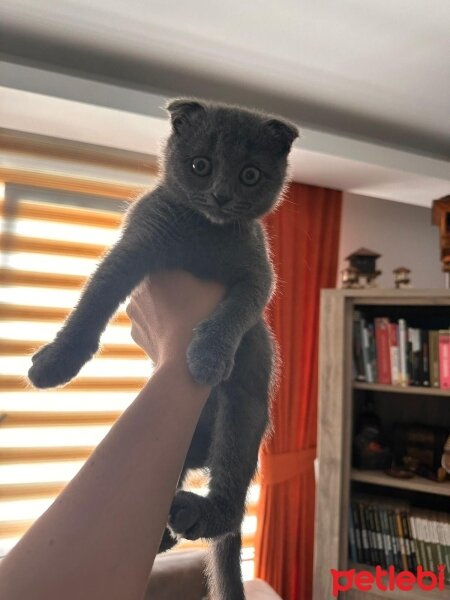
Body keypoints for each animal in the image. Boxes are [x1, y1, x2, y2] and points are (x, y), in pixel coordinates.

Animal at [28, 99, 298, 600]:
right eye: (200, 165)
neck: (205, 232)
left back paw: (195, 513)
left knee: (231, 497)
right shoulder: (135, 245)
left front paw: (208, 356)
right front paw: (57, 362)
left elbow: (235, 311)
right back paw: (164, 533)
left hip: (246, 414)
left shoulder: (258, 273)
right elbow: (93, 301)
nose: (221, 196)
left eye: (250, 175)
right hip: (183, 445)